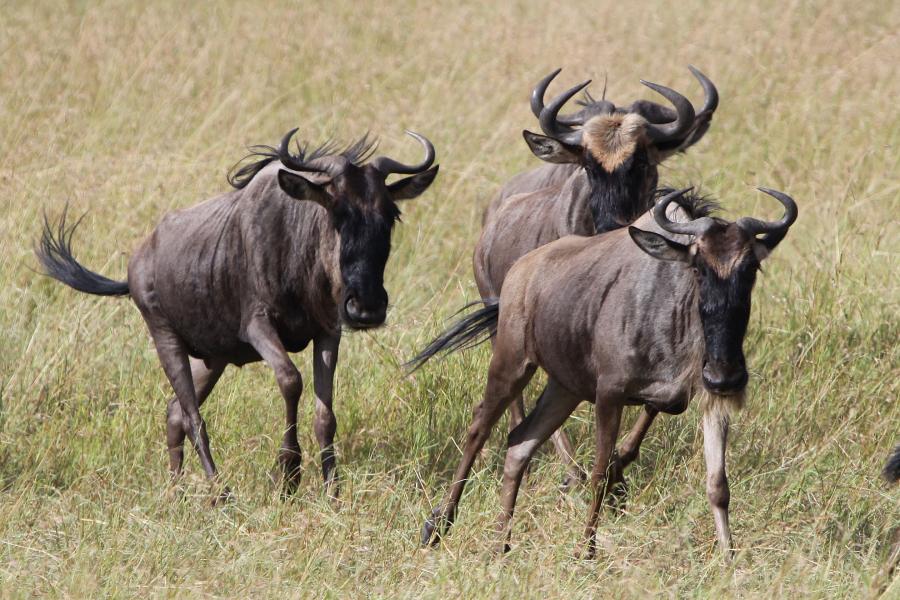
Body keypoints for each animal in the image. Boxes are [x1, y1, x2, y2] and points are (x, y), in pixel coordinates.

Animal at [36, 127, 439, 500]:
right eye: (336, 212)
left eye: (391, 214)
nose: (367, 308)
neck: (296, 246)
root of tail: (137, 261)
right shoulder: (258, 326)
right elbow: (291, 380)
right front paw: (288, 474)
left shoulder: (328, 331)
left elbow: (326, 414)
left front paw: (332, 490)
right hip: (166, 339)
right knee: (193, 418)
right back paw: (219, 492)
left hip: (211, 358)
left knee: (174, 412)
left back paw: (176, 490)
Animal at [411, 186, 798, 558]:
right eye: (698, 268)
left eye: (751, 269)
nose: (726, 374)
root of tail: (520, 271)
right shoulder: (609, 395)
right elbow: (600, 473)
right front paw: (585, 551)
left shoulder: (705, 397)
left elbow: (718, 484)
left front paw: (729, 558)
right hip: (512, 363)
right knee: (479, 428)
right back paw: (438, 526)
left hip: (563, 388)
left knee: (520, 443)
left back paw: (500, 545)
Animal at [475, 68, 718, 488]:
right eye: (589, 165)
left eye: (642, 161)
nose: (613, 226)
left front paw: (619, 467)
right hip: (508, 330)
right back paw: (568, 470)